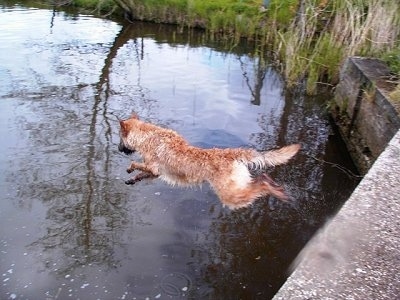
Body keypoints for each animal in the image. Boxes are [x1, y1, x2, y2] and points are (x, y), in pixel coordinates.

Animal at [119, 112, 300, 209]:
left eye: (120, 139)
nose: (118, 149)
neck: (147, 136)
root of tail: (232, 154)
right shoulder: (156, 173)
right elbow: (141, 174)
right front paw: (131, 179)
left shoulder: (153, 168)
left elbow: (136, 164)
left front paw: (129, 169)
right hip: (236, 187)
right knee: (260, 180)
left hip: (230, 195)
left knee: (262, 183)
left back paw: (275, 190)